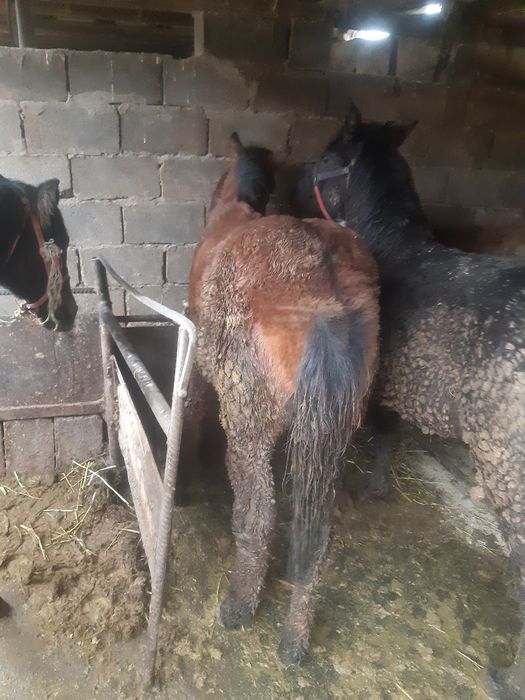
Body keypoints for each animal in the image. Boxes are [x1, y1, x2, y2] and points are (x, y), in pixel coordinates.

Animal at [186, 133, 379, 665]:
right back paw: (295, 639)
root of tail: (326, 284)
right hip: (329, 438)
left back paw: (238, 604)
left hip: (248, 426)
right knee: (317, 539)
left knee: (259, 515)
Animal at [292, 105, 525, 697]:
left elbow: (378, 432)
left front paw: (369, 487)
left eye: (325, 156)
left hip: (509, 472)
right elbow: (389, 435)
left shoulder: (372, 383)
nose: (294, 186)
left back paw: (507, 676)